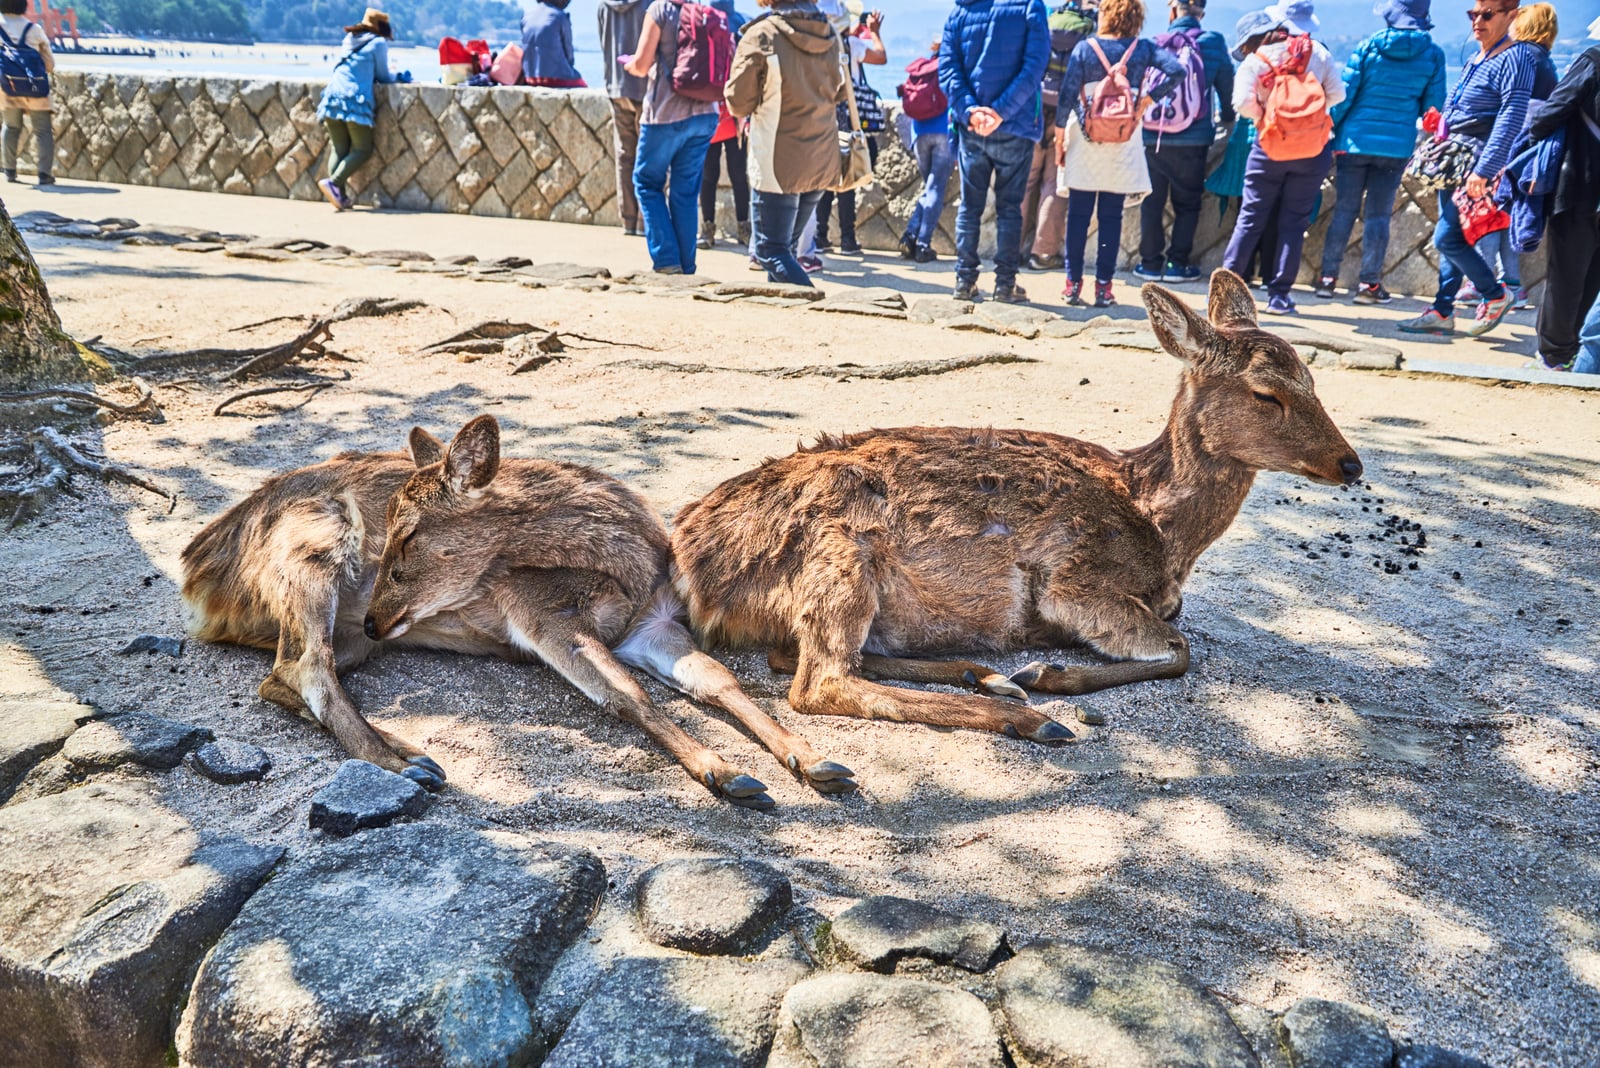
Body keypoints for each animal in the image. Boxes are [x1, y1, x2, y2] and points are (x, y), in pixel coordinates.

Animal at [180, 416, 856, 809]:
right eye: (389, 529)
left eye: (409, 533)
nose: (375, 614)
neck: (626, 567)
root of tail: (196, 579)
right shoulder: (538, 612)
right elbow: (627, 695)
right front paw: (724, 774)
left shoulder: (651, 622)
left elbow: (720, 680)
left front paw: (817, 761)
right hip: (311, 548)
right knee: (303, 666)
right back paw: (409, 766)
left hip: (350, 633)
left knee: (280, 675)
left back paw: (411, 749)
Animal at [669, 271, 1364, 742]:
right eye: (1266, 393)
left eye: (1312, 377)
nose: (1350, 464)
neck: (1163, 533)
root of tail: (689, 560)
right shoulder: (1074, 581)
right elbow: (1180, 649)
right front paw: (1048, 676)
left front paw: (1035, 673)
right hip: (837, 555)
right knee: (817, 683)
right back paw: (1024, 714)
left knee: (799, 658)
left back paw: (984, 674)